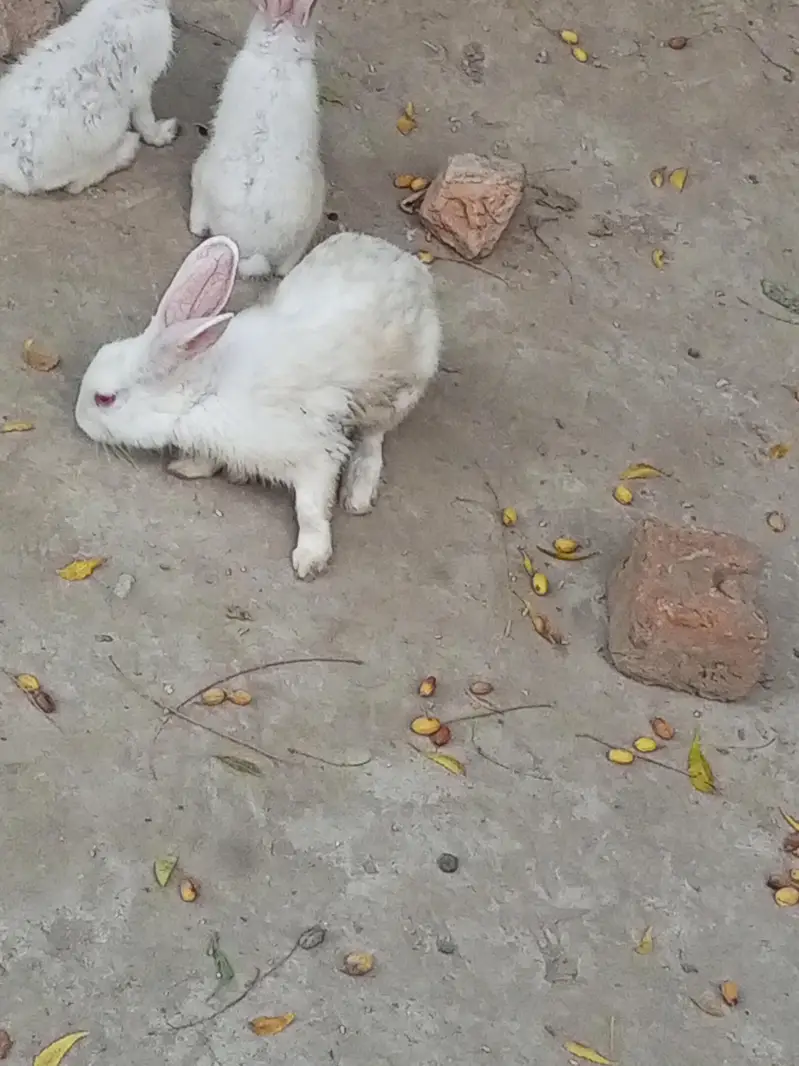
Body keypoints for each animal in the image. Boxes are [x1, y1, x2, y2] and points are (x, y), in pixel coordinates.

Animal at [0, 0, 177, 195]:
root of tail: (13, 173)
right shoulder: (142, 85)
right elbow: (145, 118)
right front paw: (162, 135)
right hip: (103, 128)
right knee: (78, 183)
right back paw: (127, 148)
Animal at [74, 232, 442, 579]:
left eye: (105, 399)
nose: (79, 419)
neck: (205, 389)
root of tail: (411, 264)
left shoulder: (314, 454)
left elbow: (310, 510)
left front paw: (310, 560)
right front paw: (188, 468)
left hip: (396, 397)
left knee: (372, 440)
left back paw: (358, 495)